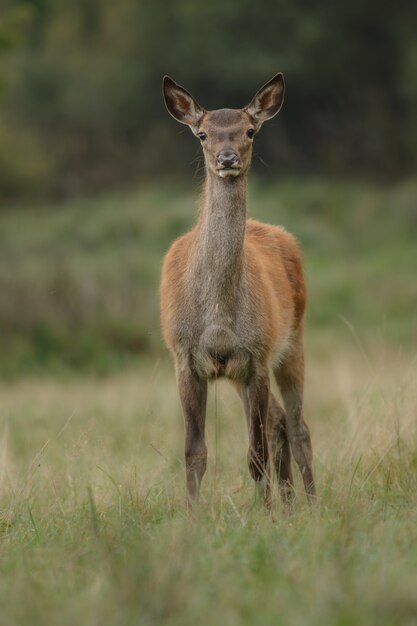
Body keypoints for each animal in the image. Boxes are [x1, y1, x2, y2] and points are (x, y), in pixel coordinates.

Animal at [160, 73, 316, 510]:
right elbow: (194, 453)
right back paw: (292, 504)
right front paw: (192, 518)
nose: (227, 157)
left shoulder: (256, 354)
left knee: (296, 426)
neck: (217, 318)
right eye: (202, 134)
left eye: (249, 130)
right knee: (280, 422)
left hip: (292, 340)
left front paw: (265, 516)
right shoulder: (184, 357)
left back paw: (311, 505)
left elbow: (254, 454)